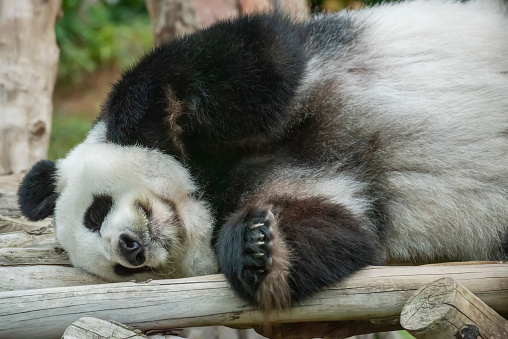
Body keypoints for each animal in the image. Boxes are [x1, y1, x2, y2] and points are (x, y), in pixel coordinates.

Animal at [16, 0, 508, 312]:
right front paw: (255, 246)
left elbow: (258, 58)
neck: (206, 189)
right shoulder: (302, 190)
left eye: (95, 212)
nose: (130, 248)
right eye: (120, 272)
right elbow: (340, 228)